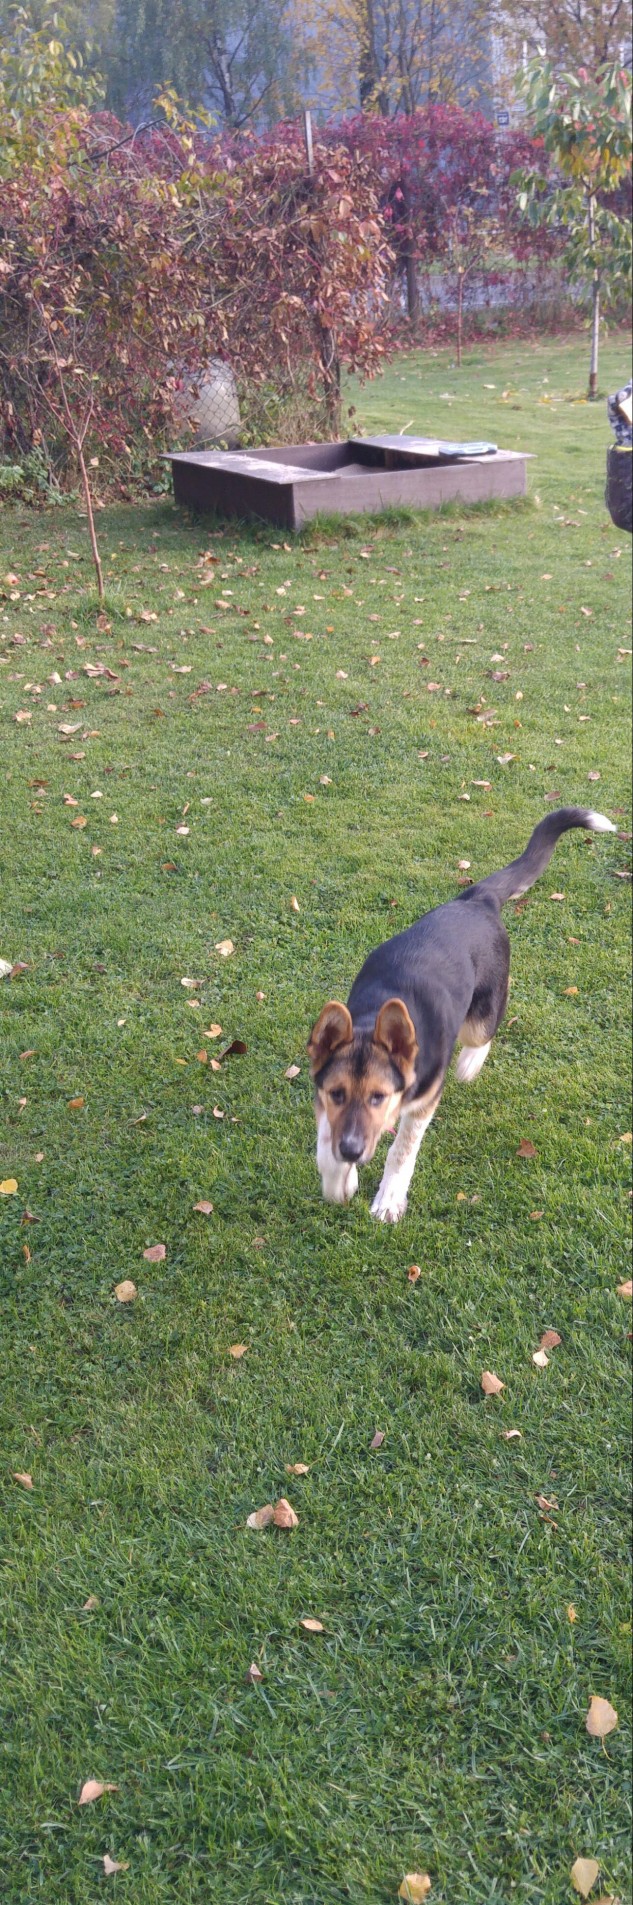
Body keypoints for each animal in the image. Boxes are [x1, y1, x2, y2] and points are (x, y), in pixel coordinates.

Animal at [308, 806, 616, 1223]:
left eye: (378, 1097)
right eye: (337, 1093)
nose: (353, 1150)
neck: (374, 1018)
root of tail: (478, 898)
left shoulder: (424, 1101)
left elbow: (401, 1152)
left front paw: (388, 1199)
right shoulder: (326, 1103)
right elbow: (327, 1142)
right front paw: (339, 1181)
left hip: (480, 1015)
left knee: (485, 1033)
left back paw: (470, 1064)